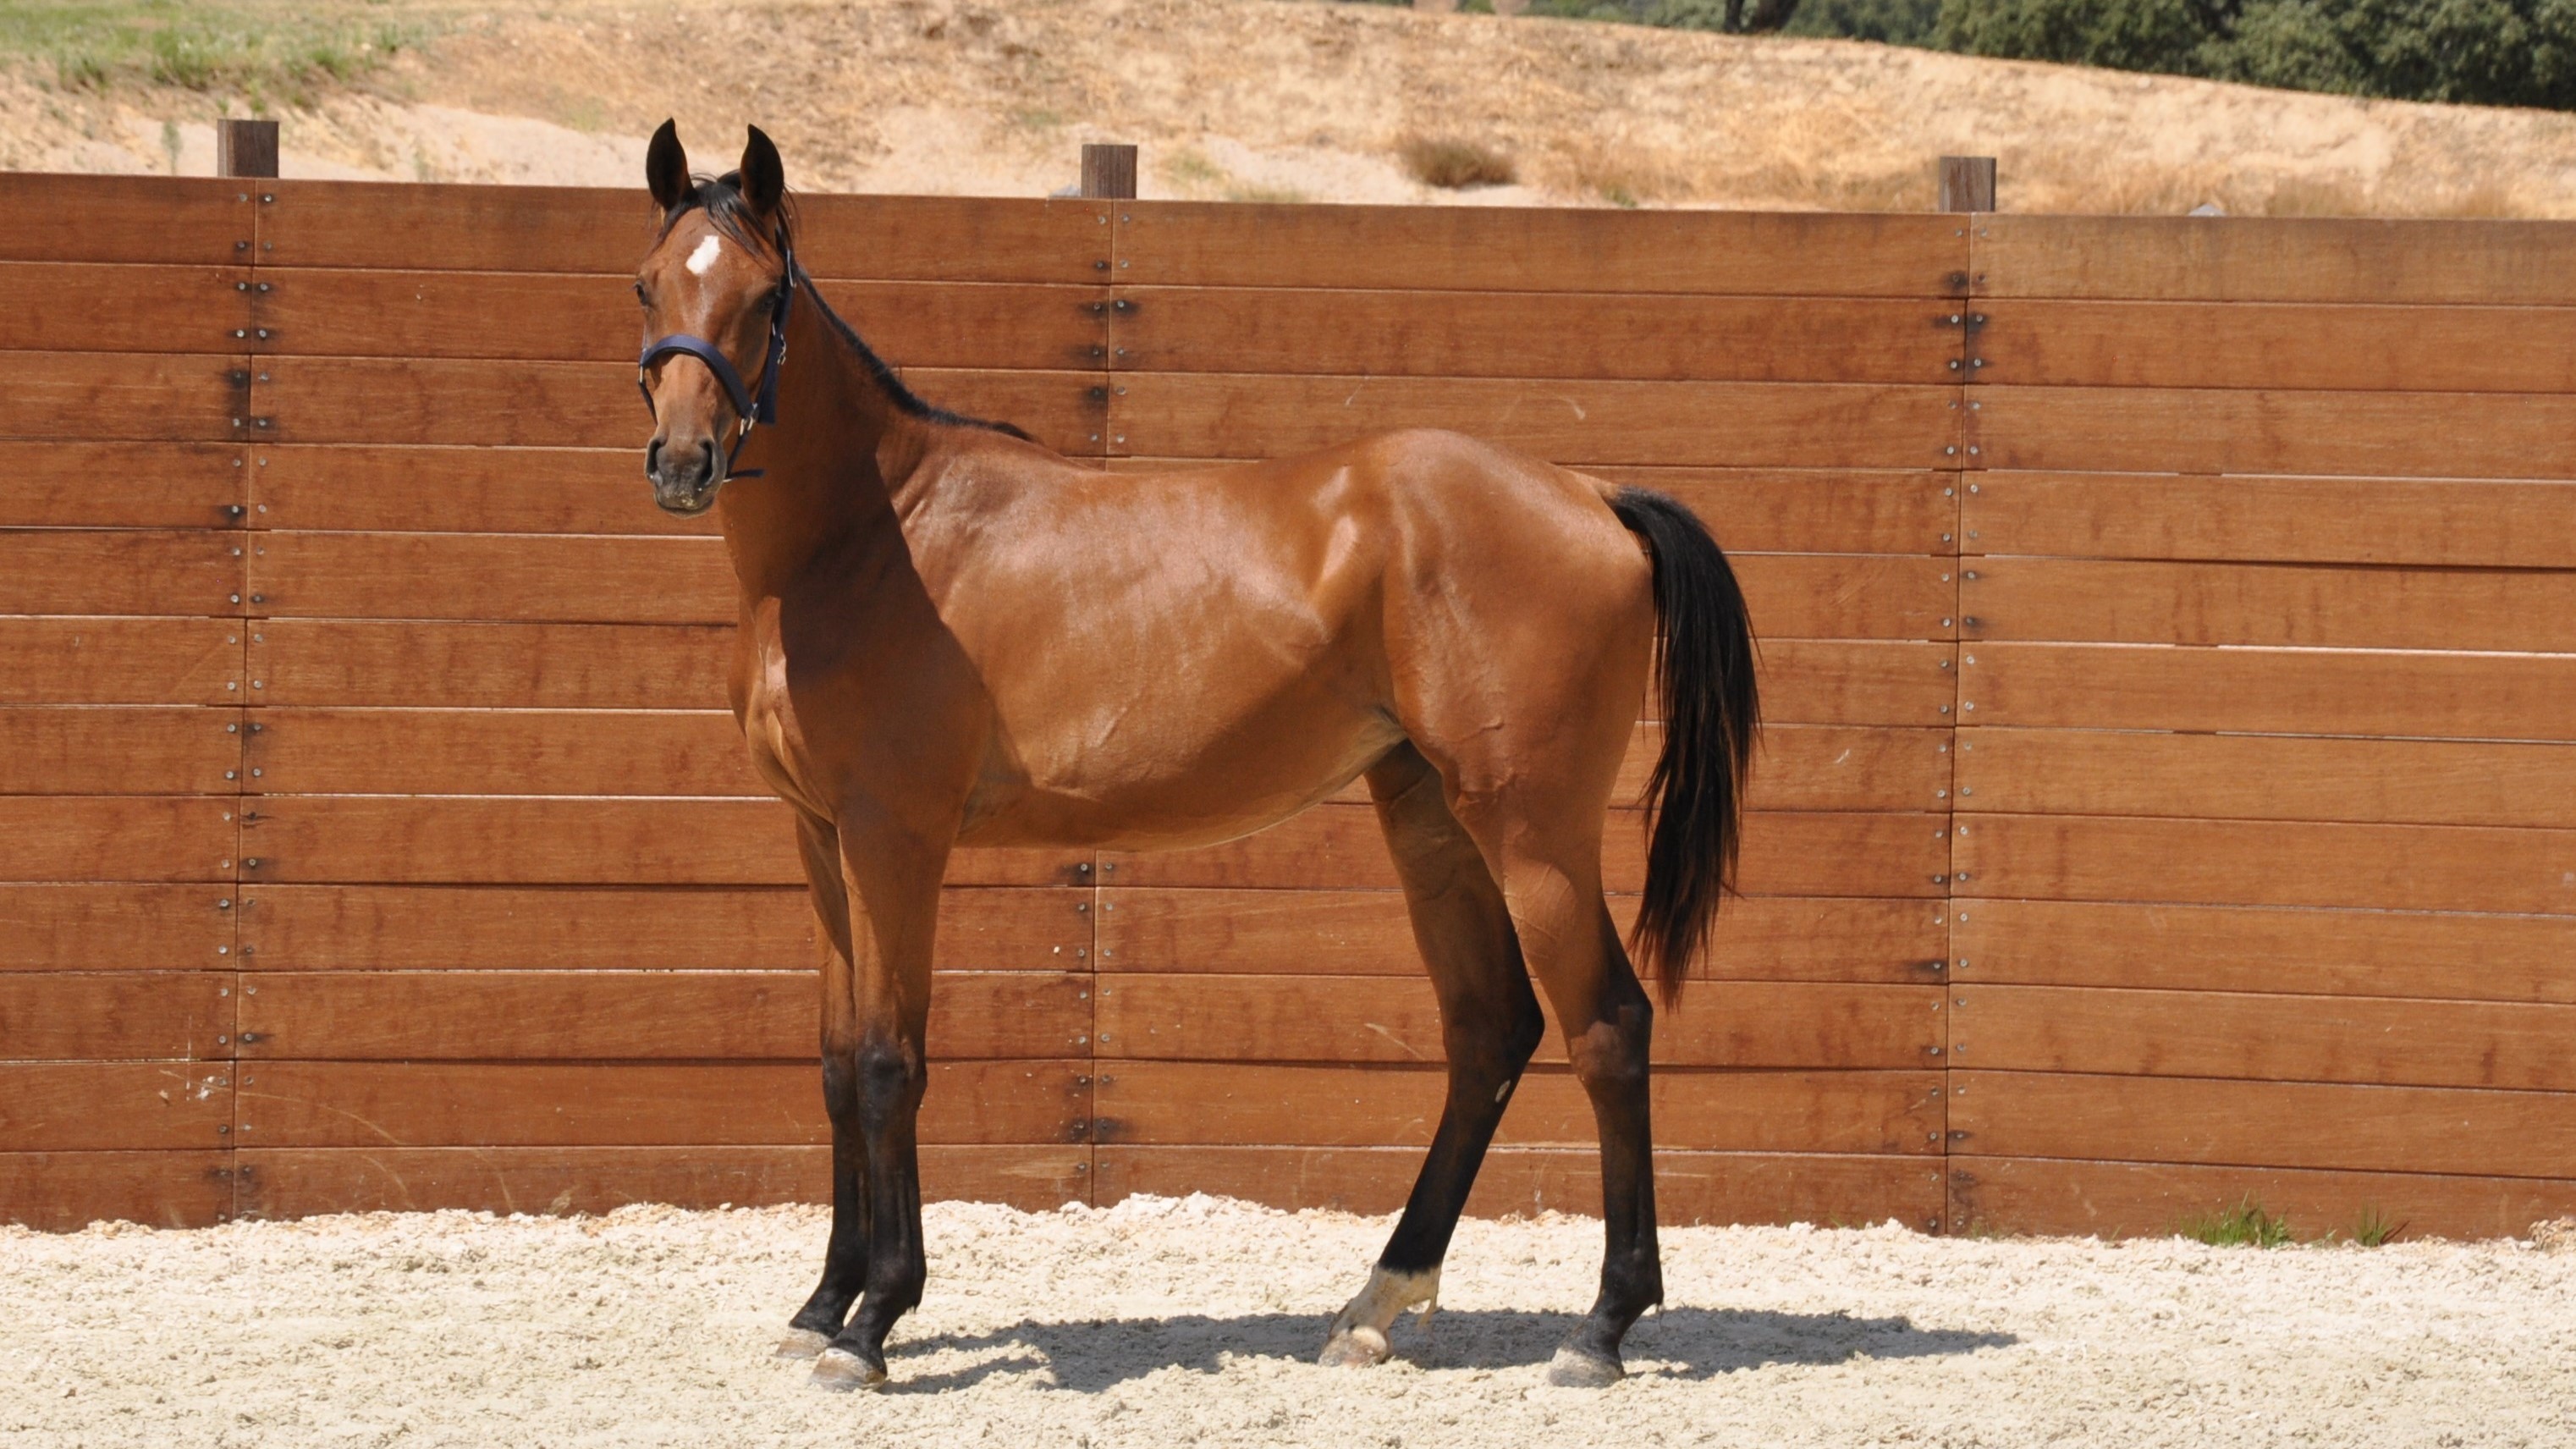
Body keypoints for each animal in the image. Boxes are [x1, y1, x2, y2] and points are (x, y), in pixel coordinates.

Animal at [631, 122, 1759, 1391]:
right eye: (650, 285)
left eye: (763, 296)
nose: (683, 462)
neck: (879, 539)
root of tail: (1593, 495)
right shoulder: (821, 839)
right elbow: (833, 1068)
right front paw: (822, 1305)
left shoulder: (894, 841)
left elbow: (887, 1062)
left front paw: (874, 1320)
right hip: (1429, 816)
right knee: (1489, 1030)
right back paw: (1374, 1304)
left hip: (1533, 833)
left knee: (1607, 1026)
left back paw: (1601, 1327)